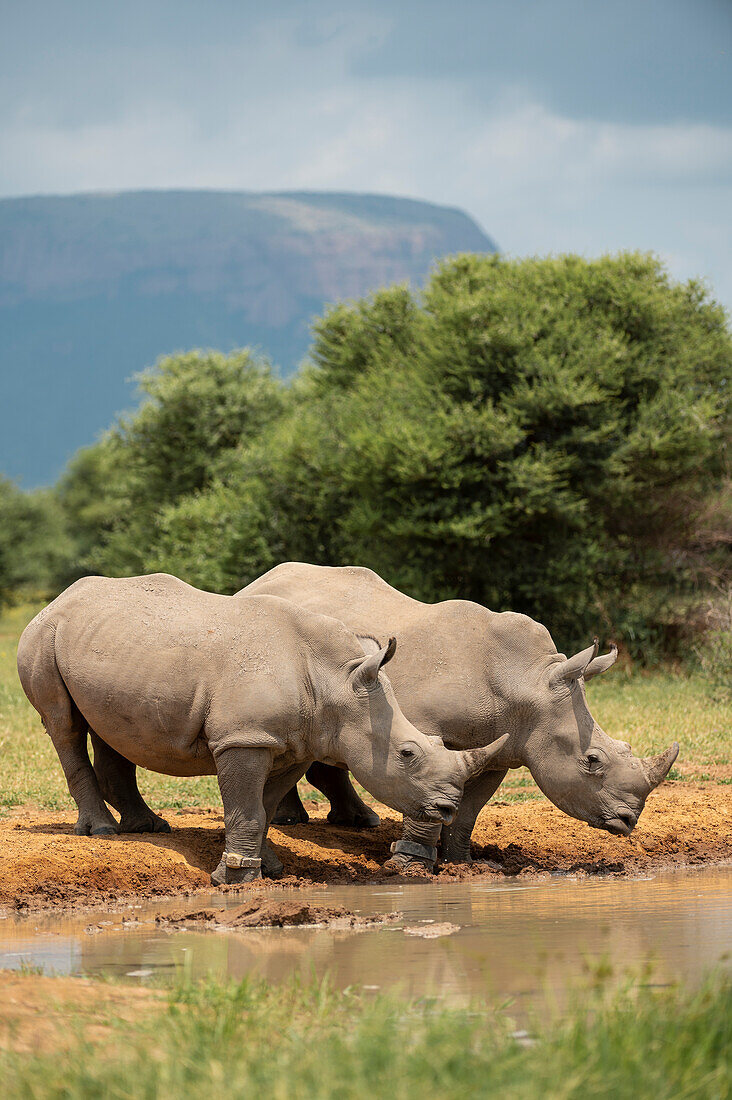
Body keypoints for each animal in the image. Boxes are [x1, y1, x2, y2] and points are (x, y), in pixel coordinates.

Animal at [15, 576, 501, 884]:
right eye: (407, 754)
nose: (447, 809)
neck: (334, 680)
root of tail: (57, 599)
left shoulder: (295, 743)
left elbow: (264, 807)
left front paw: (271, 868)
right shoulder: (244, 738)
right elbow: (246, 807)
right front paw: (237, 879)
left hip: (112, 648)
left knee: (109, 727)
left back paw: (149, 828)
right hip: (41, 636)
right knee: (63, 725)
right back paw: (102, 832)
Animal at [241, 567, 678, 866]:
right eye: (592, 761)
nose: (628, 820)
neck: (527, 681)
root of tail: (256, 583)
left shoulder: (504, 747)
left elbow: (469, 809)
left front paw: (463, 863)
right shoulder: (426, 730)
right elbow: (428, 792)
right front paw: (412, 863)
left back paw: (359, 823)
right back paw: (294, 823)